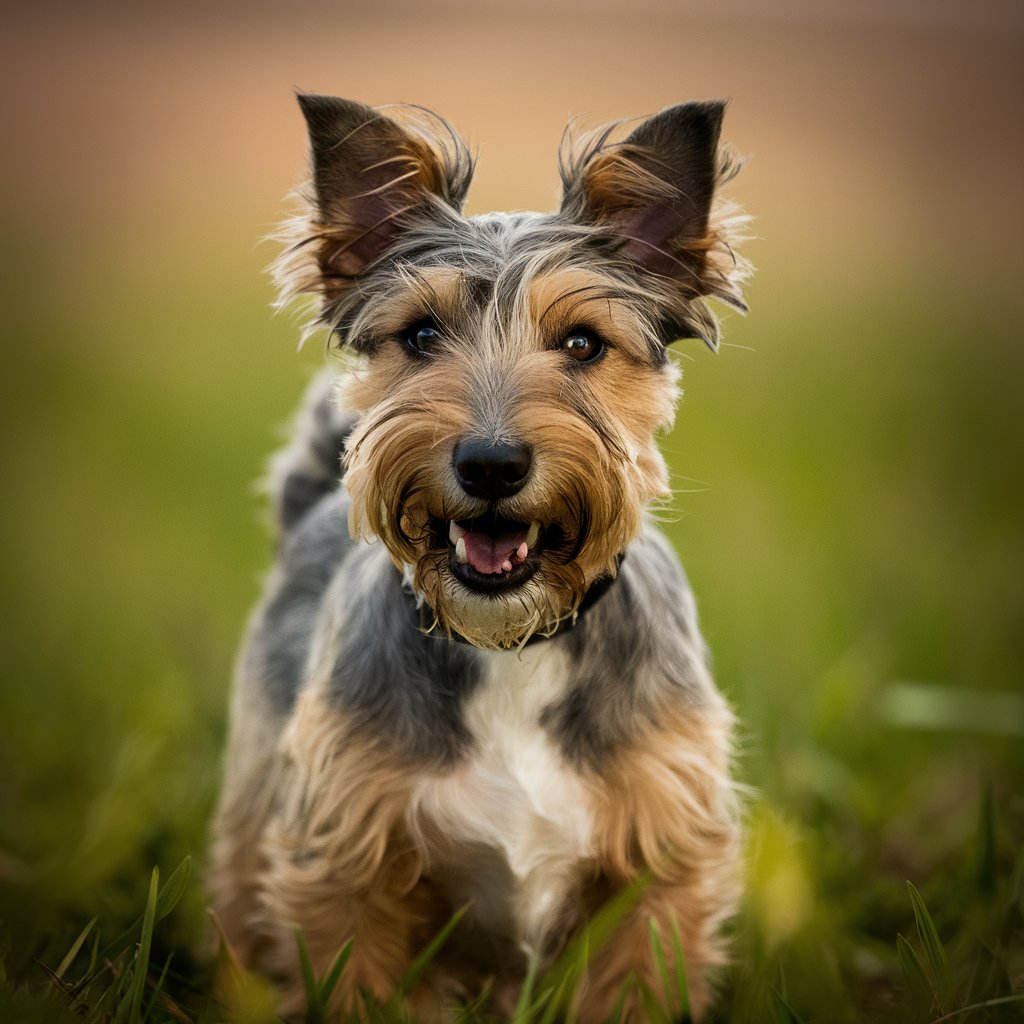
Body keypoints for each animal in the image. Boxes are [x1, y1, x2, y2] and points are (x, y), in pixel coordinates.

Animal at [207, 92, 753, 1019]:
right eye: (422, 335)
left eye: (582, 343)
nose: (491, 464)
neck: (511, 644)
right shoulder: (344, 863)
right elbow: (349, 978)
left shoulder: (658, 862)